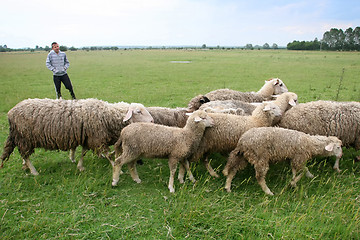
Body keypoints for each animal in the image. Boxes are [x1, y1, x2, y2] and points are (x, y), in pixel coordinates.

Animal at [0, 97, 153, 174]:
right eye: (138, 111)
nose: (152, 121)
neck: (108, 115)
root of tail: (11, 113)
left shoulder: (88, 137)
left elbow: (83, 152)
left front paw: (80, 166)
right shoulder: (97, 138)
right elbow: (108, 155)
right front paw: (117, 170)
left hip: (22, 138)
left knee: (23, 155)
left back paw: (25, 167)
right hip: (25, 137)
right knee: (25, 155)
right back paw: (33, 171)